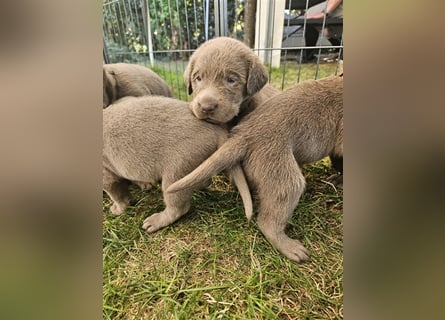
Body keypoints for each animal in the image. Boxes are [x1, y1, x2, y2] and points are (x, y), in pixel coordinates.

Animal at [102, 95, 251, 232]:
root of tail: (215, 129)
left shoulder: (106, 172)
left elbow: (115, 192)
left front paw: (118, 208)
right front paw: (144, 184)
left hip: (177, 169)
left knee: (178, 207)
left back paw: (155, 221)